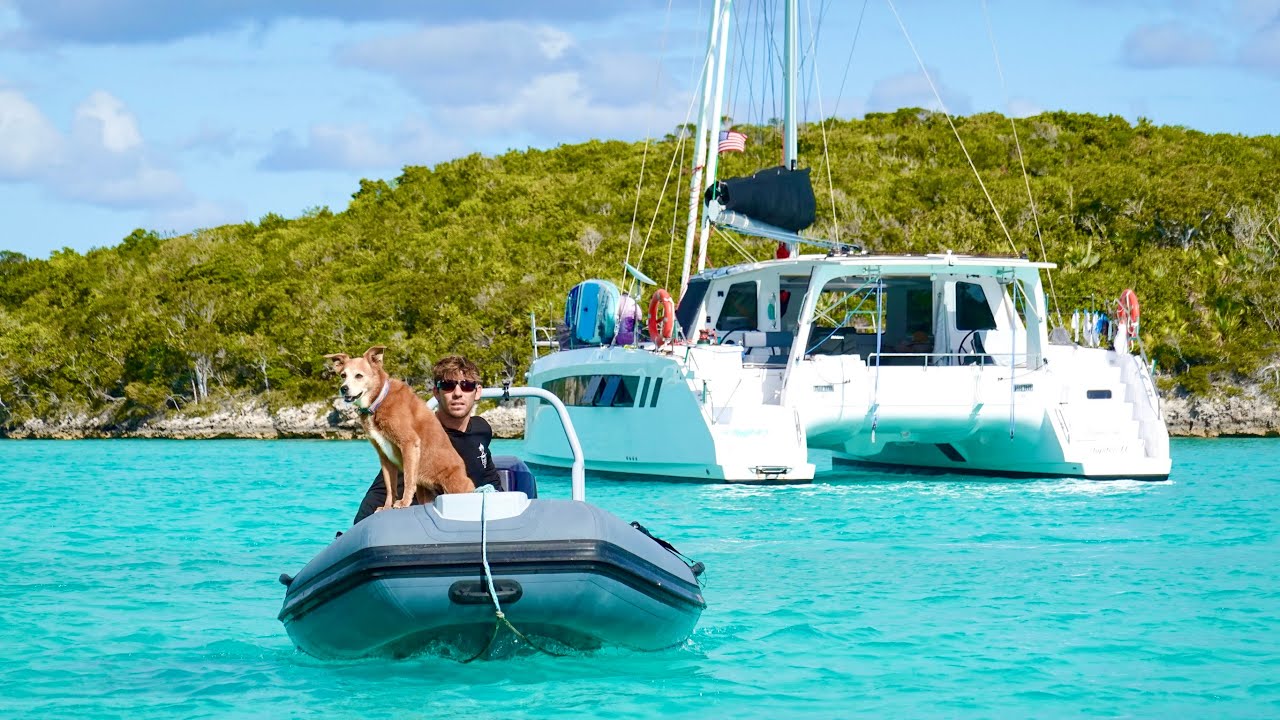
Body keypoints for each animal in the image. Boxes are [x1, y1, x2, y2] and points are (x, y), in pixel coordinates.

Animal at [325, 345, 476, 507]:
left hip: (455, 485)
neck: (378, 400)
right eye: (343, 375)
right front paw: (386, 507)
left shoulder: (409, 443)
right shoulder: (384, 455)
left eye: (359, 376)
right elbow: (390, 486)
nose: (343, 388)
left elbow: (408, 479)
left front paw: (404, 502)